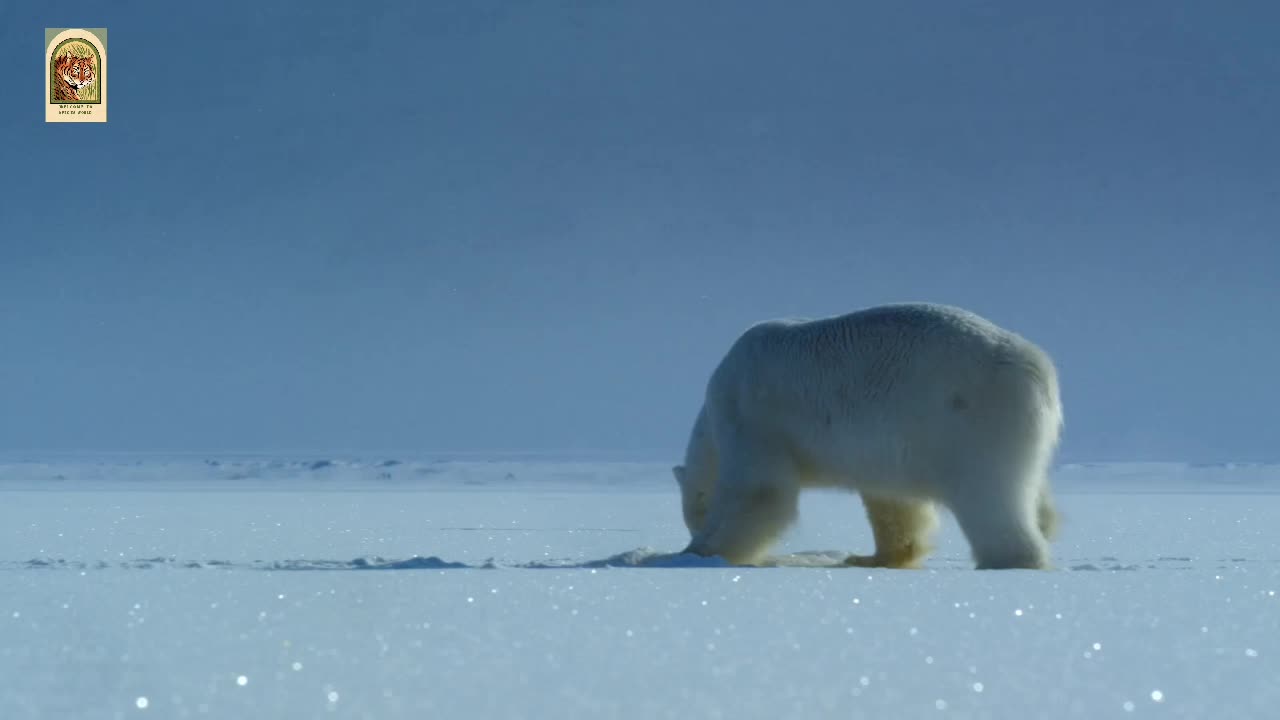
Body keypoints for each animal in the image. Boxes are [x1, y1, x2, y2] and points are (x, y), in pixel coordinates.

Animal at [673, 302, 1063, 570]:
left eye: (694, 511)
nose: (693, 532)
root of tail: (1036, 365)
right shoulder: (891, 451)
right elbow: (894, 504)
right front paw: (871, 558)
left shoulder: (751, 415)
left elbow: (759, 491)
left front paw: (698, 551)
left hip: (969, 418)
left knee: (987, 496)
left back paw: (1008, 559)